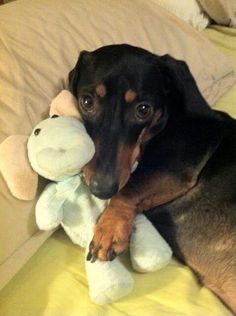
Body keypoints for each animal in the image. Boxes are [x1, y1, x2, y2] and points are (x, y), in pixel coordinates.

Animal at [68, 44, 236, 314]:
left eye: (143, 110)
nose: (101, 189)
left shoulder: (177, 167)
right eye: (86, 101)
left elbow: (129, 189)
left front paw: (108, 229)